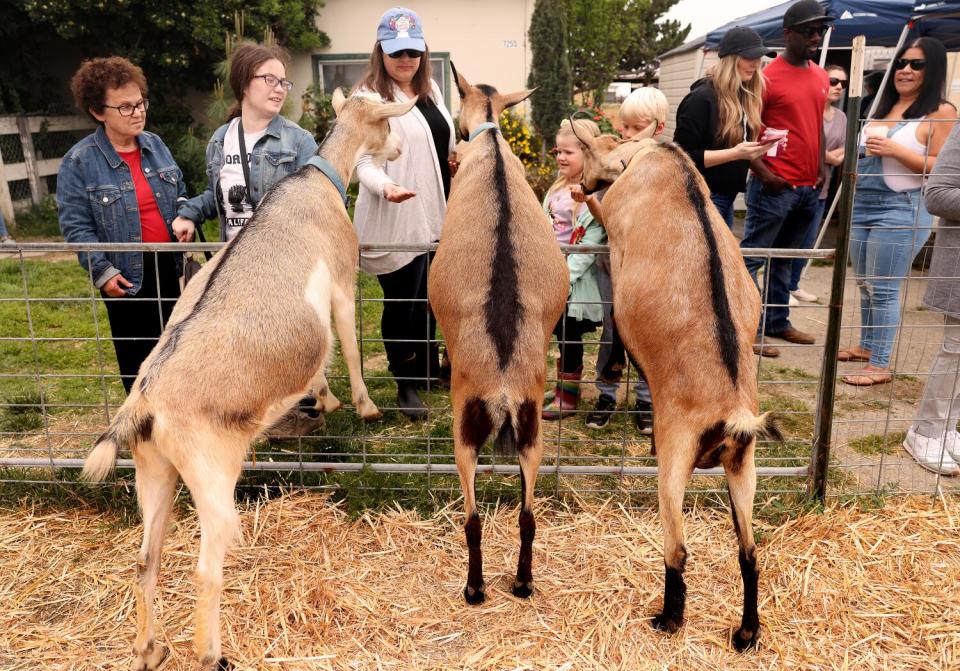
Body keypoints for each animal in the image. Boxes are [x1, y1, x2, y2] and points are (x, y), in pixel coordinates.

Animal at [82, 90, 412, 671]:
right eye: (386, 122)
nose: (397, 149)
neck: (318, 179)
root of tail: (144, 402)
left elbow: (321, 362)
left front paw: (323, 399)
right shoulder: (342, 281)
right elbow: (348, 344)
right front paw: (363, 405)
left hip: (155, 471)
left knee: (146, 559)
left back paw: (148, 648)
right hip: (211, 474)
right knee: (204, 568)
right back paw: (209, 652)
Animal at [430, 65, 568, 608]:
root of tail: (505, 382)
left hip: (464, 427)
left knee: (471, 519)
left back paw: (475, 587)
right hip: (533, 429)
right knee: (528, 515)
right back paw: (523, 582)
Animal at [572, 130, 784, 652]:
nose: (580, 182)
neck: (653, 156)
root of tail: (733, 412)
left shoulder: (617, 233)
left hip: (676, 450)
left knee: (678, 548)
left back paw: (668, 618)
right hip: (743, 464)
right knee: (749, 550)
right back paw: (746, 633)